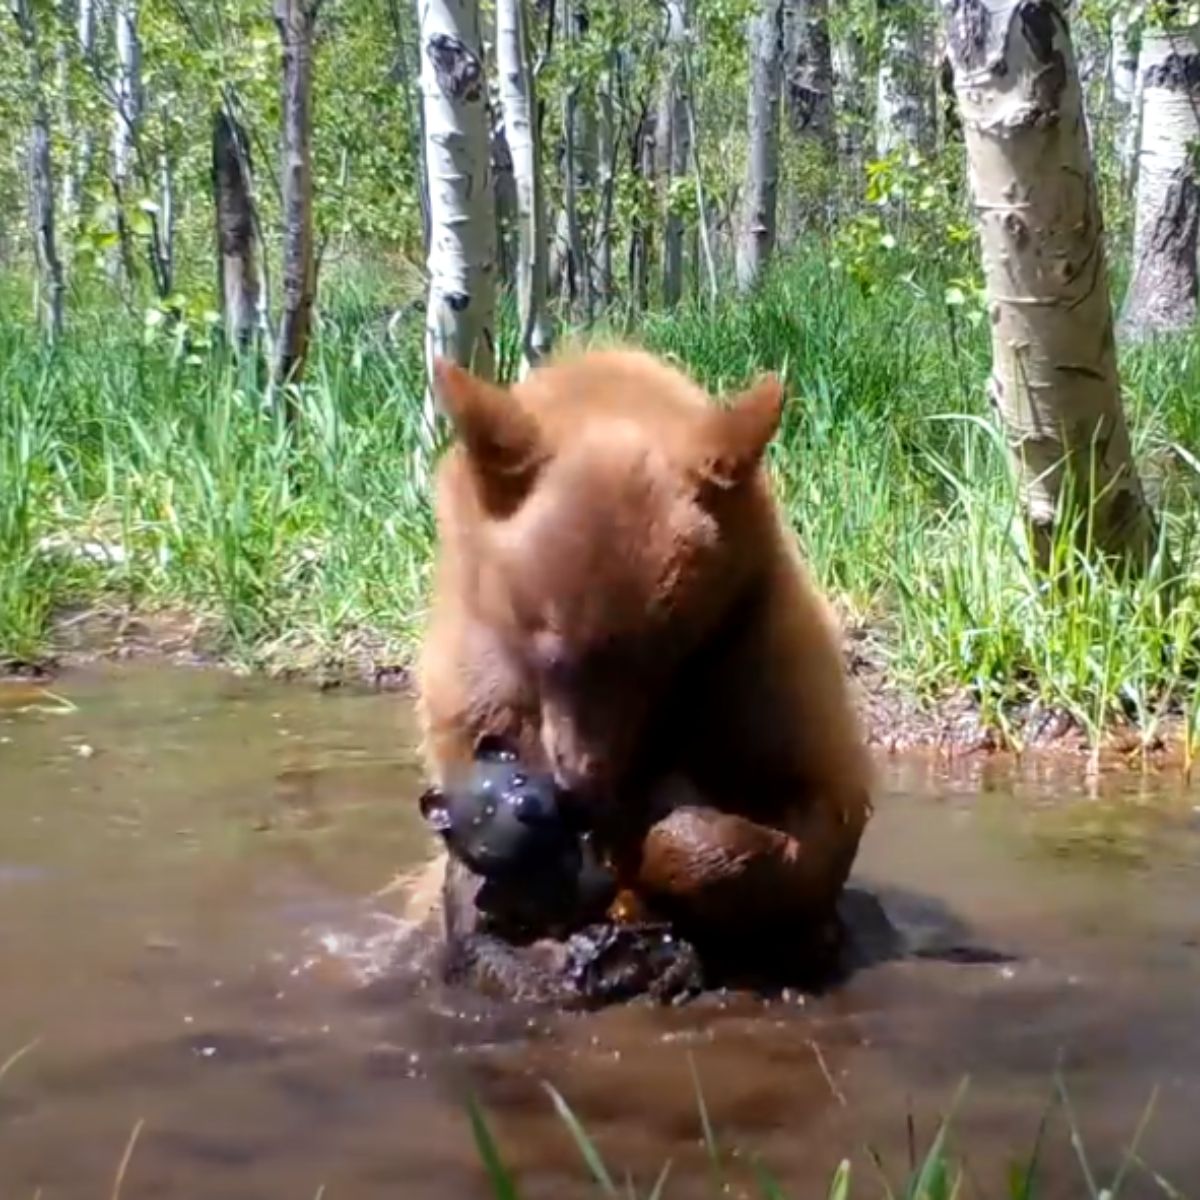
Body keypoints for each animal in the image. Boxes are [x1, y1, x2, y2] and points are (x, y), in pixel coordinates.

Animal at [411, 344, 874, 991]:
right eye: (550, 649)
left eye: (661, 655)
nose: (583, 786)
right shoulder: (476, 684)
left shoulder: (758, 657)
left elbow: (818, 811)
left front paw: (649, 840)